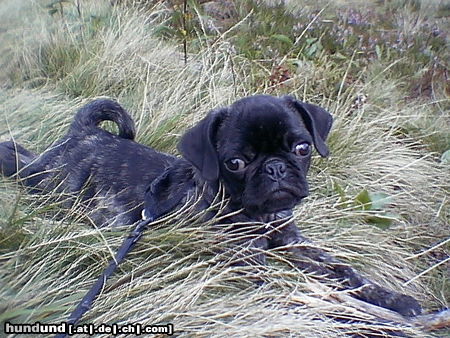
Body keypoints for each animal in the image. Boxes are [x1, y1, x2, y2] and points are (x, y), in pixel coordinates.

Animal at [0, 94, 422, 316]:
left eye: (302, 148)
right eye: (235, 162)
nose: (275, 167)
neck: (258, 216)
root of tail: (85, 133)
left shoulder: (294, 245)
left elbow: (344, 272)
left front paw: (393, 299)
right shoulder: (249, 263)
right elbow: (302, 290)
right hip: (63, 191)